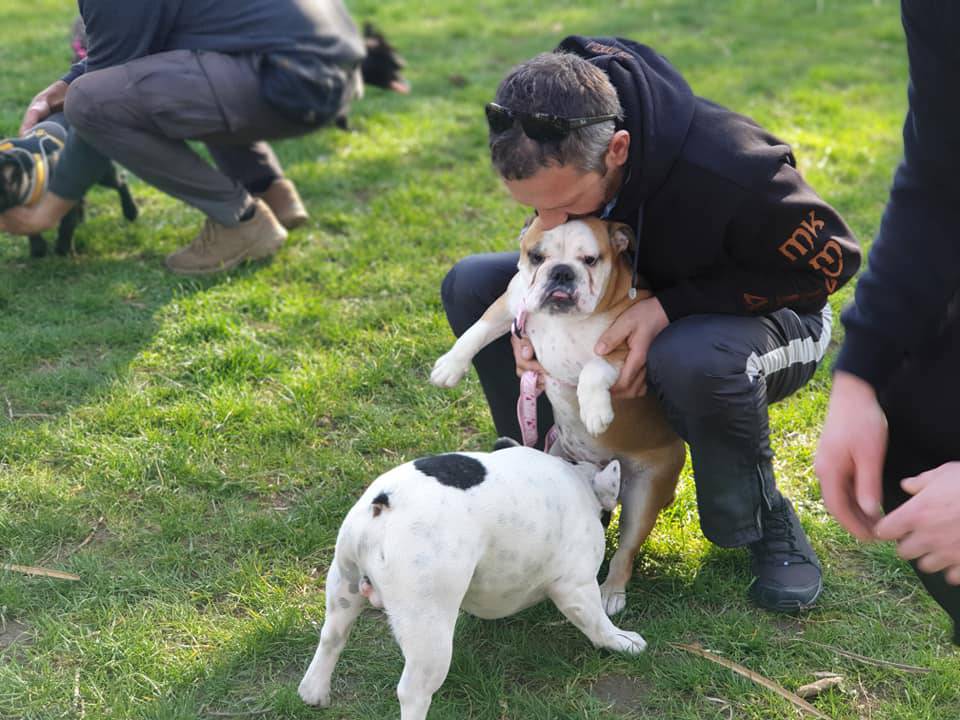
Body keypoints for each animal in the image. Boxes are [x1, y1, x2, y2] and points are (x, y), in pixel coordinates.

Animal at [298, 448, 644, 716]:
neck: (580, 480)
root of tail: (384, 504)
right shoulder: (576, 586)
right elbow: (597, 622)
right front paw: (621, 641)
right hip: (428, 624)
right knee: (413, 691)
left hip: (344, 582)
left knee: (332, 635)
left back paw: (314, 691)